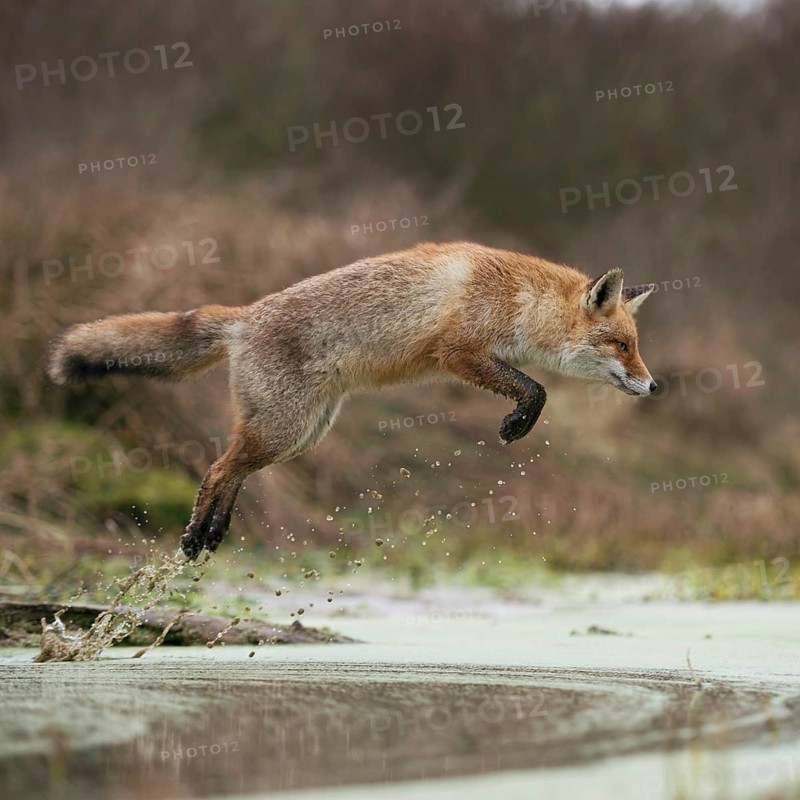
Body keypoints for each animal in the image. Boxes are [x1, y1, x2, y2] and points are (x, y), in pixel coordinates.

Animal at [43, 241, 656, 560]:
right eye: (622, 345)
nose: (654, 386)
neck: (518, 298)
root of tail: (245, 317)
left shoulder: (470, 357)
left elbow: (533, 383)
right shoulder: (458, 352)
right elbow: (536, 387)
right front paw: (517, 424)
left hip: (299, 435)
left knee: (232, 468)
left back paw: (214, 532)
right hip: (284, 430)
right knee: (217, 468)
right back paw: (195, 537)